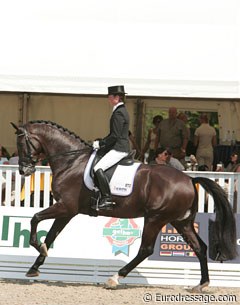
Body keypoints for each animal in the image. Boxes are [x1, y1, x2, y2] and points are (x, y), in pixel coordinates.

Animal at [10, 120, 236, 290]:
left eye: (22, 144)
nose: (23, 170)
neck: (71, 162)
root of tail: (189, 179)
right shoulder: (67, 211)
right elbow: (50, 235)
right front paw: (35, 266)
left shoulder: (66, 207)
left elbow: (35, 219)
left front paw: (36, 246)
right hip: (182, 222)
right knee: (200, 247)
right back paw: (202, 284)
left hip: (155, 219)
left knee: (145, 250)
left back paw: (114, 278)